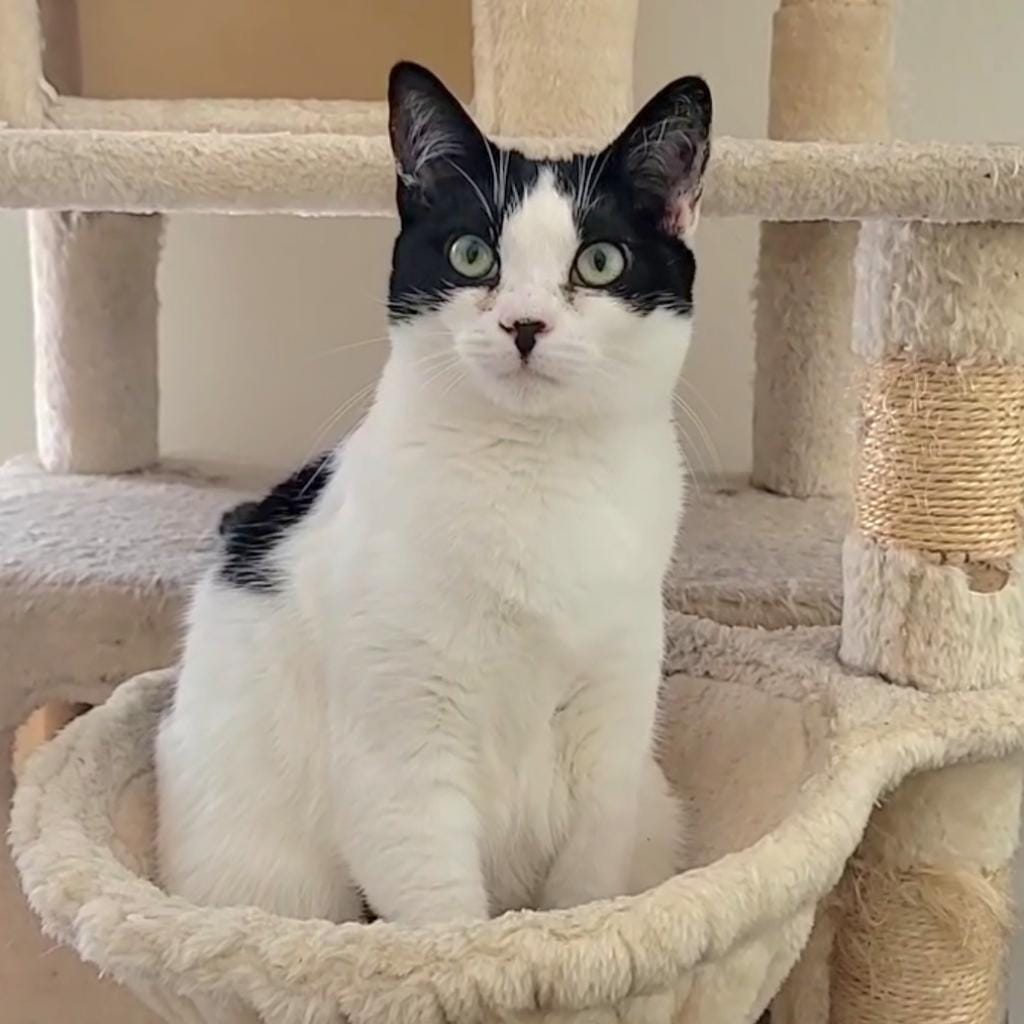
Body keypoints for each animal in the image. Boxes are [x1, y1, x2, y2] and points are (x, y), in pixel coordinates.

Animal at [153, 61, 712, 929]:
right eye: (472, 254)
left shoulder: (612, 741)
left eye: (601, 263)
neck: (535, 479)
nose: (525, 324)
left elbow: (586, 892)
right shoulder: (402, 756)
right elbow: (442, 919)